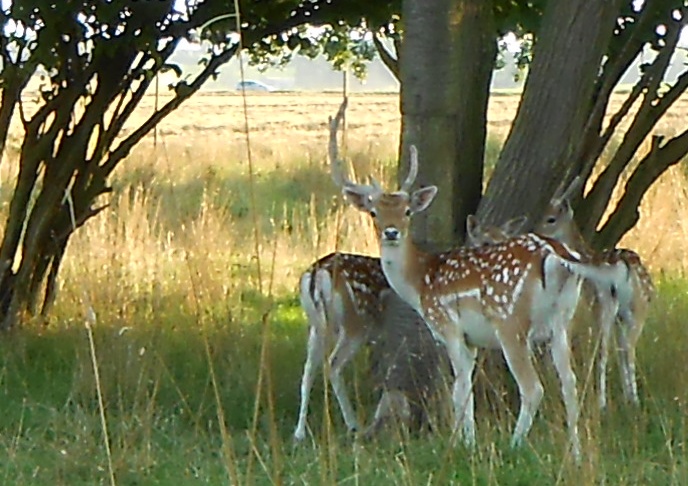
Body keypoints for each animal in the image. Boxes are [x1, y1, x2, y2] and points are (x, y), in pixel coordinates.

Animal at [536, 177, 652, 408]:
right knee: (626, 348)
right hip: (636, 309)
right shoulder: (620, 318)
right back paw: (631, 398)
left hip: (605, 305)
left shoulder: (596, 305)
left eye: (551, 219)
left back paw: (606, 401)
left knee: (607, 351)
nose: (536, 232)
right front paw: (626, 393)